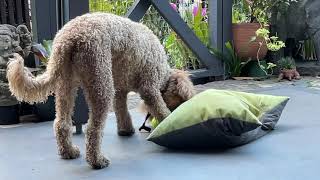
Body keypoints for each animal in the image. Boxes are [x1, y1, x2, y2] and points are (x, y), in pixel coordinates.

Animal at [6, 12, 195, 169]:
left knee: (61, 123)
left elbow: (122, 111)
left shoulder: (120, 91)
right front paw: (167, 123)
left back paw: (69, 152)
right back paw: (97, 160)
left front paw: (126, 130)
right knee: (92, 129)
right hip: (101, 83)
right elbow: (161, 110)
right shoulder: (149, 88)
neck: (164, 73)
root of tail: (69, 38)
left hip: (66, 85)